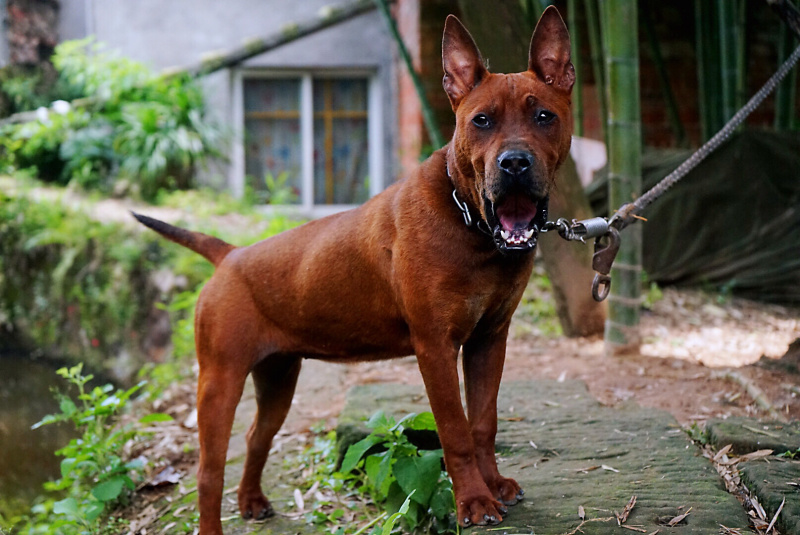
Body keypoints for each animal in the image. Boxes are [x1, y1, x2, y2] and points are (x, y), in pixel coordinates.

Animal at [136, 7, 576, 532]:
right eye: (482, 120)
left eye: (544, 116)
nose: (514, 163)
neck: (468, 218)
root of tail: (231, 254)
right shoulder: (435, 347)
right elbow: (456, 431)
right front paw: (472, 501)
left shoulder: (489, 339)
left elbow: (483, 422)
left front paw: (493, 485)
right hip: (219, 382)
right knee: (207, 472)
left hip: (278, 378)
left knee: (256, 437)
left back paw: (252, 499)